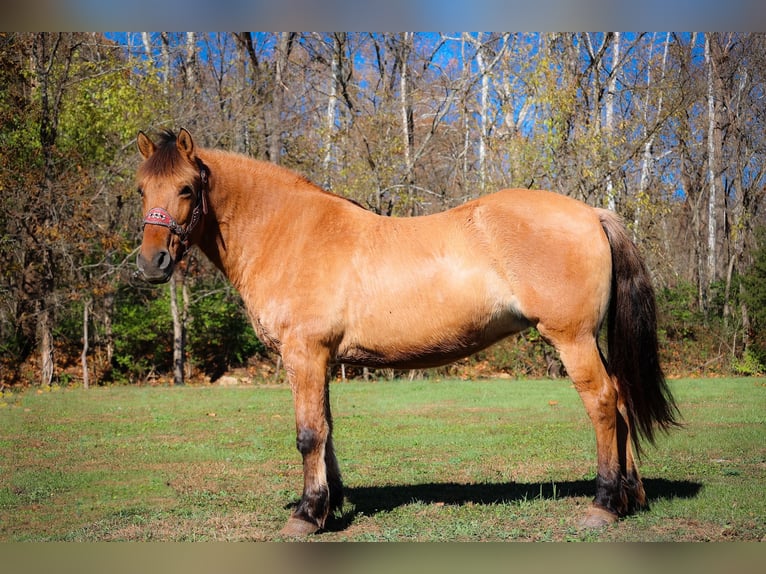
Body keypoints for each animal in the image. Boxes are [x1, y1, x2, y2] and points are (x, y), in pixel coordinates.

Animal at [134, 128, 679, 536]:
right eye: (142, 190)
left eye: (187, 188)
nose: (151, 262)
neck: (288, 231)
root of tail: (592, 213)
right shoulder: (322, 358)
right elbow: (327, 430)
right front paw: (331, 504)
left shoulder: (303, 353)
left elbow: (309, 434)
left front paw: (307, 515)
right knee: (622, 399)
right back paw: (631, 497)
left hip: (572, 339)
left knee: (603, 403)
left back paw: (603, 503)